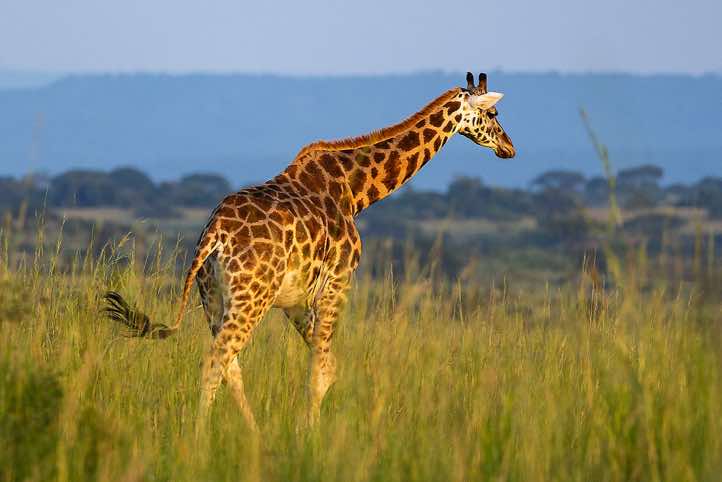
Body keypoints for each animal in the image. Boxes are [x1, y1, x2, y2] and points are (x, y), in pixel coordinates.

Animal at [102, 72, 515, 429]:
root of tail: (213, 235)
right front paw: (310, 437)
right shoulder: (337, 283)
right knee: (216, 359)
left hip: (212, 297)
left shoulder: (297, 300)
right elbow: (321, 370)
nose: (509, 148)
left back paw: (254, 435)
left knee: (231, 364)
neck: (354, 191)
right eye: (493, 114)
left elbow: (327, 366)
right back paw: (198, 441)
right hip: (251, 296)